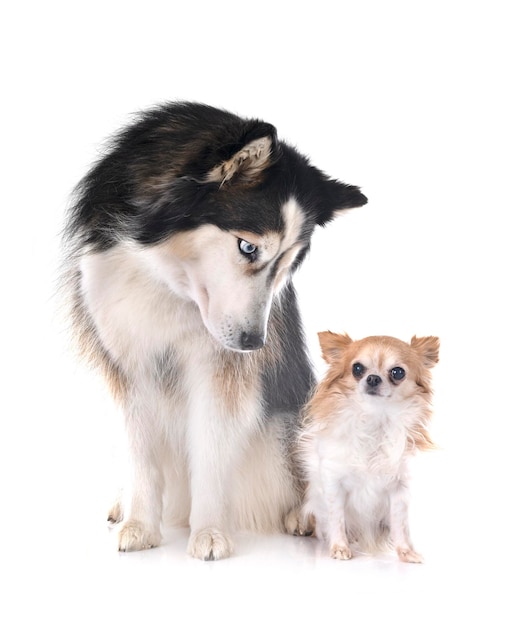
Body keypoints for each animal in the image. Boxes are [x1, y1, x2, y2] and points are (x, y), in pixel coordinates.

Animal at [62, 102, 366, 560]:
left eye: (287, 264)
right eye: (248, 247)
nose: (255, 344)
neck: (164, 277)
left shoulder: (221, 369)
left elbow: (211, 449)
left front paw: (208, 531)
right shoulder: (129, 360)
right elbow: (142, 456)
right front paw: (140, 525)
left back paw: (303, 514)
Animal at [298, 332, 438, 560]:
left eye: (397, 372)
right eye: (357, 368)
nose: (373, 378)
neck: (375, 420)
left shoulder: (399, 488)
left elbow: (400, 523)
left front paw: (405, 552)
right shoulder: (334, 482)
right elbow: (337, 518)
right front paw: (339, 547)